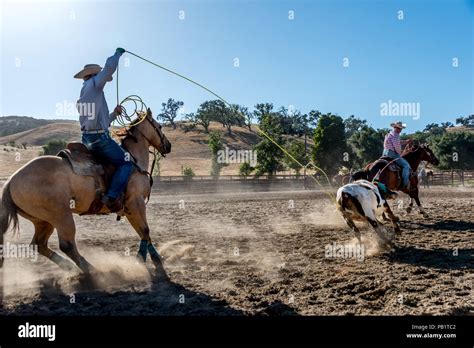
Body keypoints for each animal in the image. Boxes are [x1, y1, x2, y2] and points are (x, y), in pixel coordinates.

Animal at [0, 108, 170, 278]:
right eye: (160, 127)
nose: (168, 145)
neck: (133, 161)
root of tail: (11, 181)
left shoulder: (130, 208)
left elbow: (143, 232)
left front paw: (154, 258)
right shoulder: (135, 202)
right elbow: (145, 230)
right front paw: (144, 259)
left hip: (42, 220)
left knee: (39, 244)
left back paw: (69, 266)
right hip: (61, 215)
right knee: (67, 245)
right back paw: (91, 269)